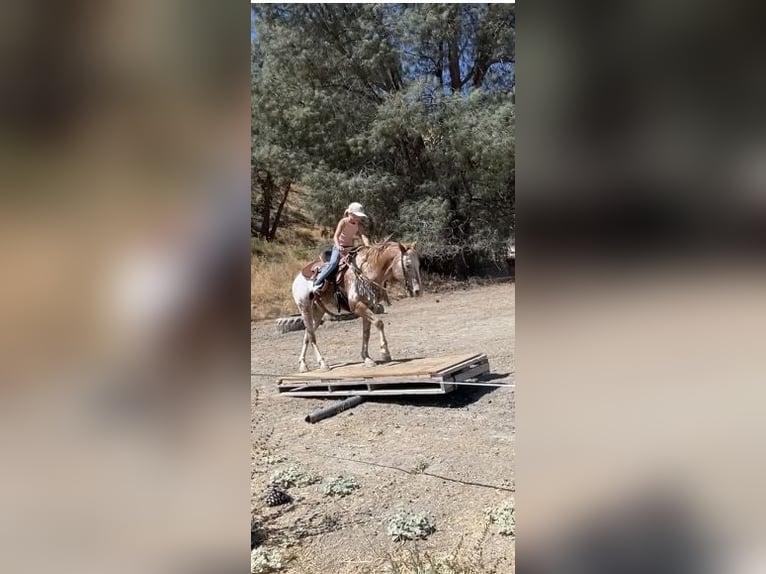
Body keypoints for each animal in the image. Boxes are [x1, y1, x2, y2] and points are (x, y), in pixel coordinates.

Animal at [291, 240, 422, 372]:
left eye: (419, 264)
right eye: (408, 265)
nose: (417, 291)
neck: (365, 271)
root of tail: (297, 278)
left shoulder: (369, 306)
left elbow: (366, 332)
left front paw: (367, 358)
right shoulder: (357, 306)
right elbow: (379, 322)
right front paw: (385, 353)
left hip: (318, 312)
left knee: (307, 335)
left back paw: (303, 364)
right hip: (305, 308)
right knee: (312, 336)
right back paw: (323, 364)